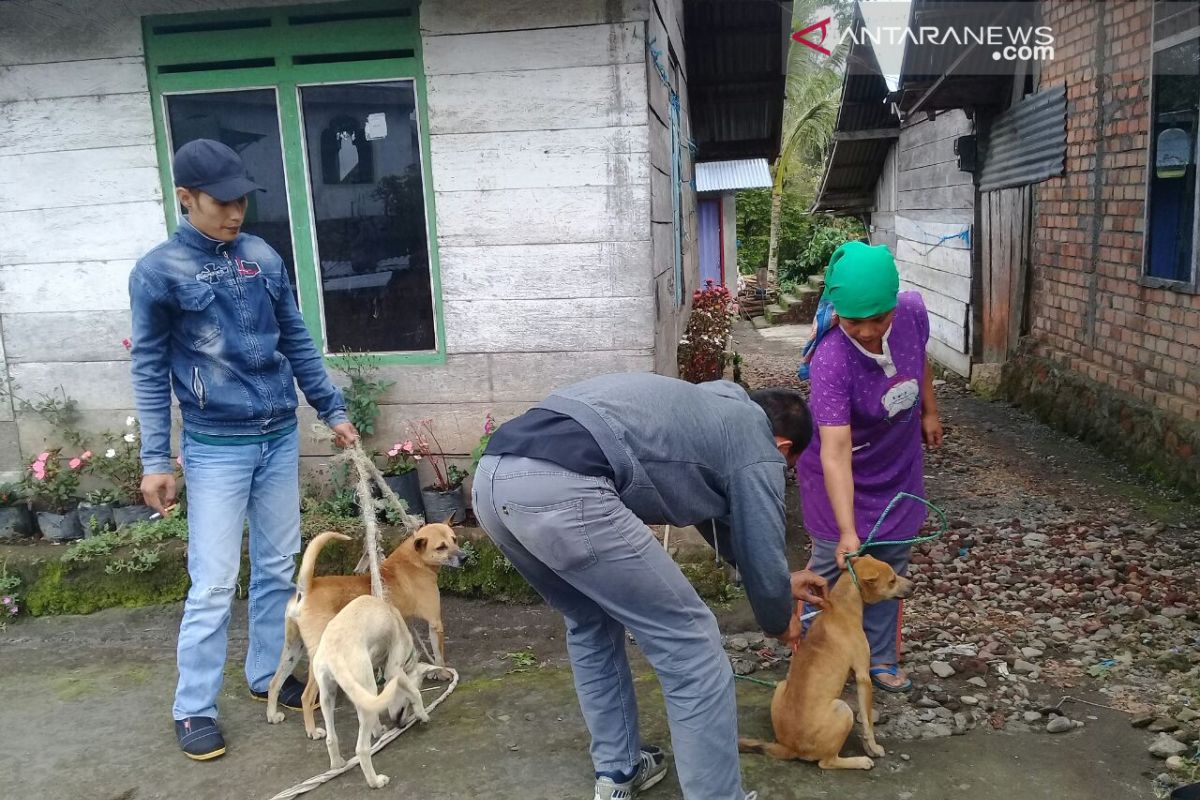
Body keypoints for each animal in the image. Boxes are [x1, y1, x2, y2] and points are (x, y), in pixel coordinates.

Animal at [267, 522, 463, 743]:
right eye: (441, 547)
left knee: (274, 683)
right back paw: (312, 730)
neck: (413, 561)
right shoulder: (434, 623)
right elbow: (439, 655)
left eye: (454, 539)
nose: (464, 557)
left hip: (292, 650)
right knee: (306, 696)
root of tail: (307, 588)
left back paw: (272, 714)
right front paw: (443, 673)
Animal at [734, 556, 912, 767]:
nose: (913, 586)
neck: (840, 606)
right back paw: (859, 761)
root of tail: (789, 747)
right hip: (843, 709)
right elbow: (868, 721)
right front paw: (873, 748)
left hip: (782, 685)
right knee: (827, 762)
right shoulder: (863, 677)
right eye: (892, 580)